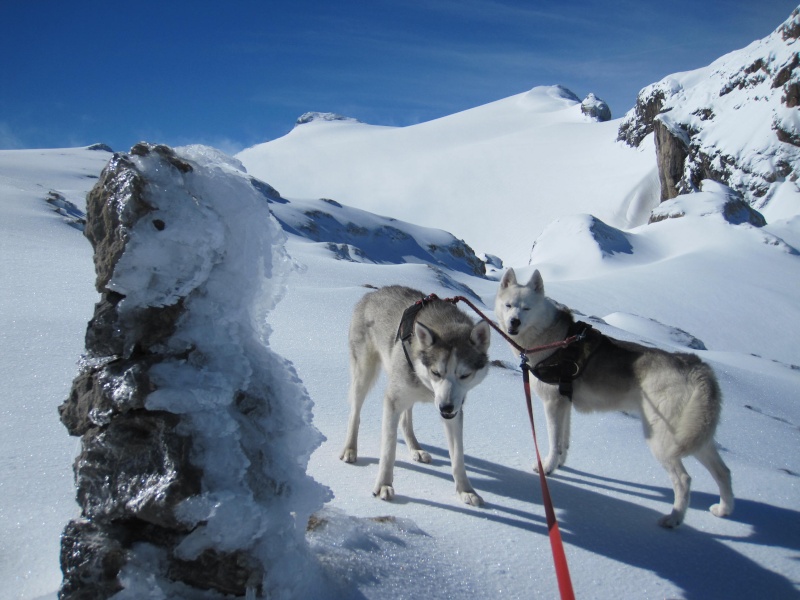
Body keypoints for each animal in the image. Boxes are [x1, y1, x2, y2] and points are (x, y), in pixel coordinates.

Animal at [340, 286, 490, 506]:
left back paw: (415, 449)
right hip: (364, 374)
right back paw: (350, 449)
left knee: (406, 420)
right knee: (355, 413)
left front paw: (465, 490)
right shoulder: (392, 401)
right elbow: (389, 450)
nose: (445, 408)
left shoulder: (455, 412)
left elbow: (458, 457)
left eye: (464, 375)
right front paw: (384, 484)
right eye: (436, 372)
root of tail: (372, 294)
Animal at [496, 270, 736, 528]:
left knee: (684, 479)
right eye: (509, 305)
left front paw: (548, 468)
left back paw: (674, 518)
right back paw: (723, 510)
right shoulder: (564, 403)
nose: (514, 322)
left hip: (663, 440)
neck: (549, 337)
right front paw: (560, 464)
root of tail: (697, 367)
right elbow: (564, 441)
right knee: (724, 472)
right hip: (697, 437)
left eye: (526, 308)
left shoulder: (552, 403)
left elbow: (553, 442)